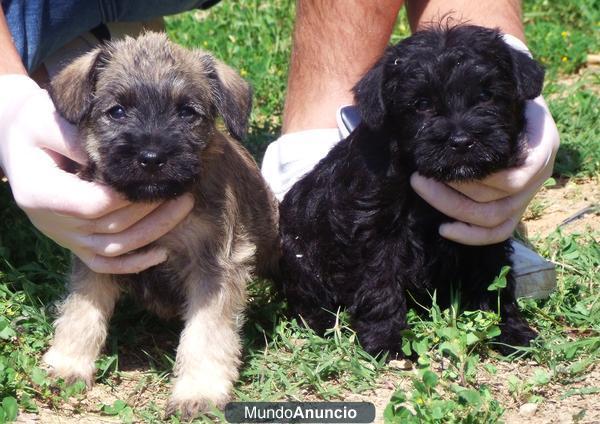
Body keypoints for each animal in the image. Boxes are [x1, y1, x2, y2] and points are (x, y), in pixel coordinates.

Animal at [43, 32, 280, 418]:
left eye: (187, 112)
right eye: (117, 111)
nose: (152, 158)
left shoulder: (215, 267)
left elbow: (206, 333)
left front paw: (198, 392)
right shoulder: (97, 255)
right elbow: (81, 311)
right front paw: (67, 363)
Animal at [278, 24, 548, 356]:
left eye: (486, 96)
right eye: (421, 104)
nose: (461, 141)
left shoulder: (485, 231)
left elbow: (495, 278)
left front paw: (510, 330)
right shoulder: (374, 232)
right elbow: (379, 283)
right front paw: (385, 339)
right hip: (301, 256)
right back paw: (324, 322)